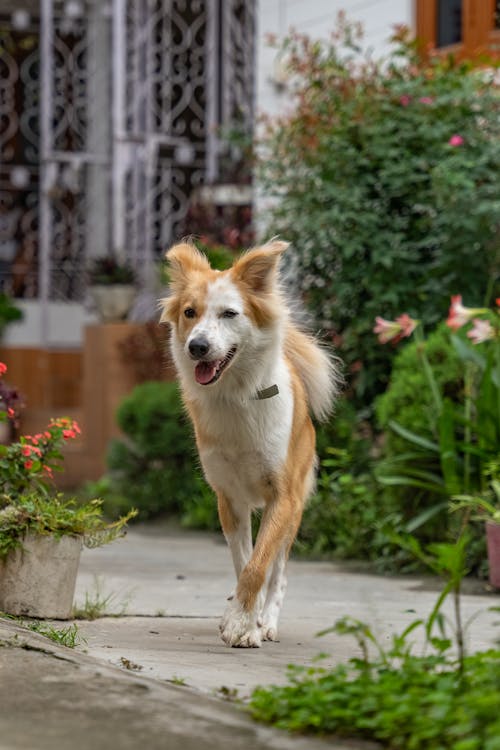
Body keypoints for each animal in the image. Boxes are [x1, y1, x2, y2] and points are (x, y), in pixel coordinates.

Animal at [161, 241, 340, 648]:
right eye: (189, 312)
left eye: (229, 313)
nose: (197, 346)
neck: (236, 396)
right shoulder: (228, 498)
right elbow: (243, 562)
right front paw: (242, 618)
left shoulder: (282, 499)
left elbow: (259, 567)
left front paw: (247, 624)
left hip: (295, 509)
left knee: (280, 572)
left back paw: (269, 622)